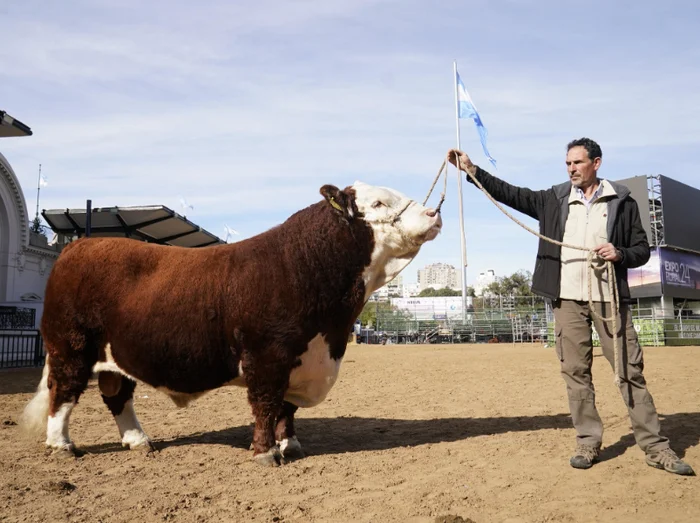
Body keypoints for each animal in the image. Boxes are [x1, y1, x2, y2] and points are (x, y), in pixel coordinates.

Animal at [23, 181, 442, 466]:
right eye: (377, 202)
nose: (433, 213)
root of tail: (81, 245)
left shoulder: (300, 358)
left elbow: (286, 409)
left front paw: (290, 445)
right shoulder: (267, 354)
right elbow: (265, 404)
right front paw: (265, 453)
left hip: (114, 354)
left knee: (116, 394)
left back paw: (138, 441)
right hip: (71, 346)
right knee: (64, 390)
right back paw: (62, 445)